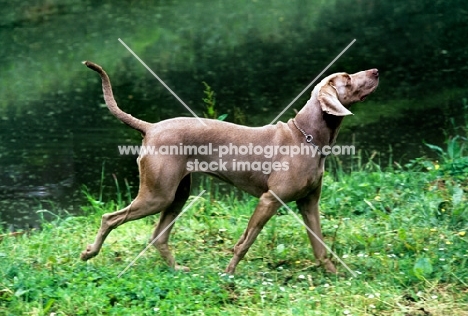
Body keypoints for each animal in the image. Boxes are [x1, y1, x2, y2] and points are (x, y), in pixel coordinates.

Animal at [82, 61, 378, 274]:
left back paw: (177, 269)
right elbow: (244, 242)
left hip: (177, 194)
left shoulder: (309, 202)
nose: (376, 71)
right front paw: (229, 274)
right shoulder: (269, 200)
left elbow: (320, 246)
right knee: (109, 218)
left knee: (158, 237)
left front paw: (336, 275)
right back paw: (89, 253)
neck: (306, 137)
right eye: (347, 79)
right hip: (157, 195)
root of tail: (150, 127)